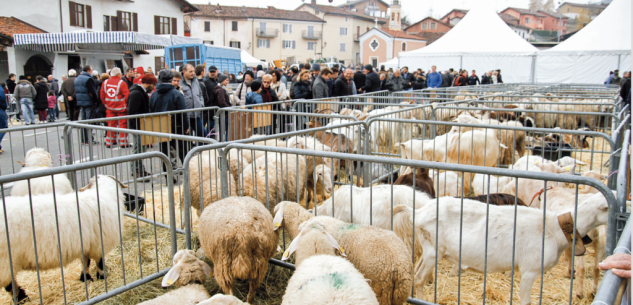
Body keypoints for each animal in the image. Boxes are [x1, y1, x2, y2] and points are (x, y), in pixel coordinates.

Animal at [0, 173, 128, 302]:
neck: (104, 192)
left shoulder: (86, 244)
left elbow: (85, 262)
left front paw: (85, 278)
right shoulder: (99, 244)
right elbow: (99, 262)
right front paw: (102, 276)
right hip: (5, 261)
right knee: (9, 285)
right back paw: (22, 298)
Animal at [396, 190, 612, 304]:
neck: (555, 227)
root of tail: (417, 212)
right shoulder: (529, 269)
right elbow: (526, 301)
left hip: (430, 250)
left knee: (416, 274)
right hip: (434, 251)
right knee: (419, 278)